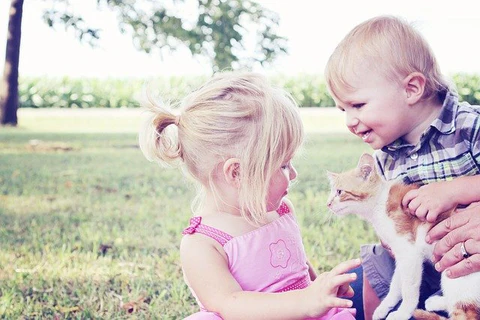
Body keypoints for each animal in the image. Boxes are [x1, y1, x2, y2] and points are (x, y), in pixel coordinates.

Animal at [326, 152, 480, 320]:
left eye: (339, 192)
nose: (328, 204)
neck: (379, 204)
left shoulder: (409, 253)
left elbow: (408, 288)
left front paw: (404, 312)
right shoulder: (400, 253)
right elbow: (396, 283)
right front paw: (384, 307)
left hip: (454, 271)